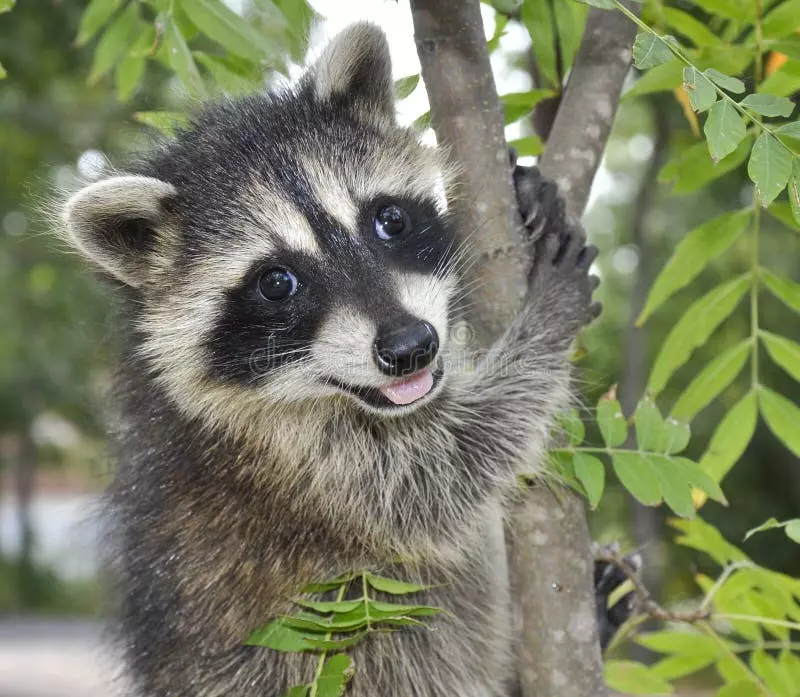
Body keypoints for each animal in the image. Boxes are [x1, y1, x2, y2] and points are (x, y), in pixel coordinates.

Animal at [61, 22, 621, 697]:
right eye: (277, 283)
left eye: (390, 219)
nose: (410, 347)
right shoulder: (282, 463)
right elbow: (442, 475)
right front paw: (544, 326)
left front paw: (530, 192)